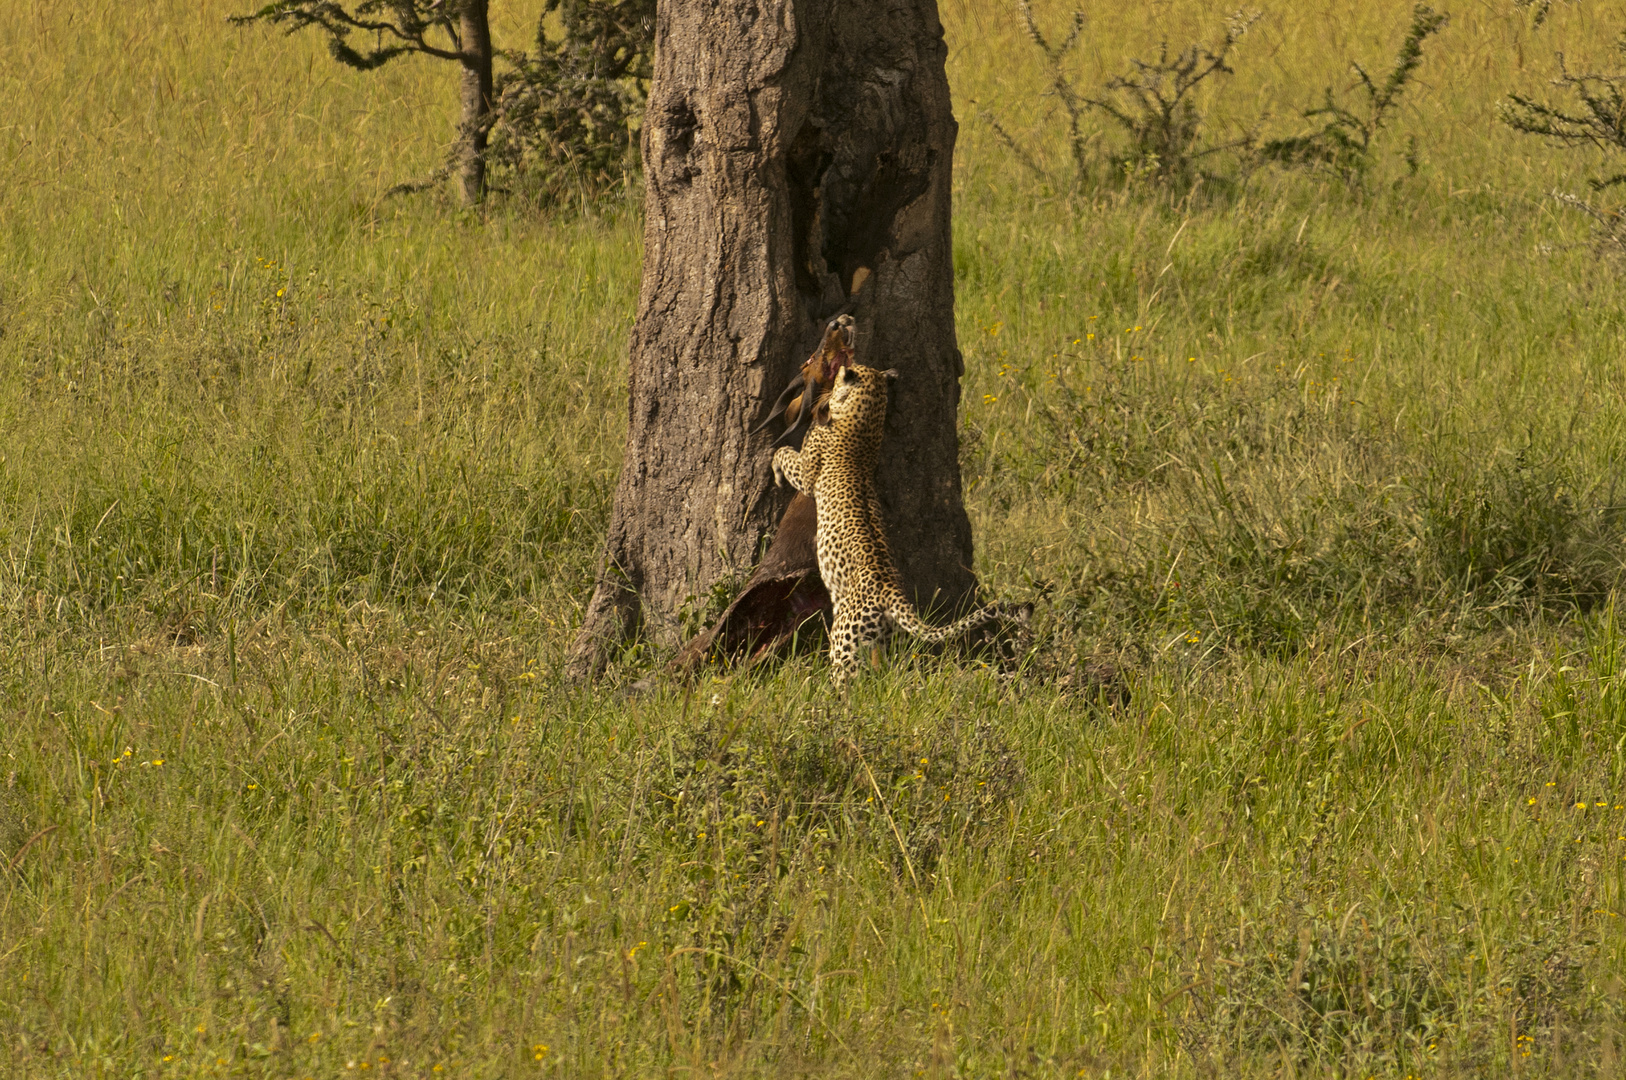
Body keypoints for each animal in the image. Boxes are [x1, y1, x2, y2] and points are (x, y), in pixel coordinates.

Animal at [770, 362, 1014, 683]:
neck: (867, 420)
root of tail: (890, 592)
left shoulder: (807, 474)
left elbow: (785, 454)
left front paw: (775, 466)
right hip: (886, 642)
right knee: (885, 672)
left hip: (843, 639)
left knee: (847, 679)